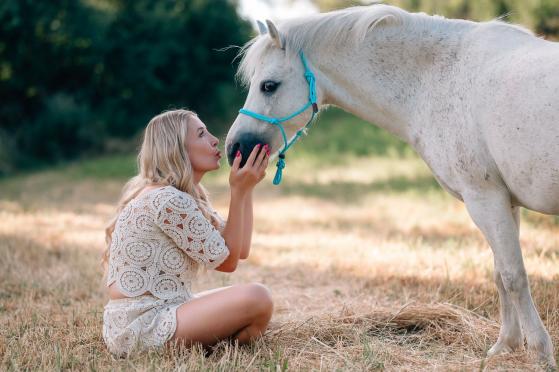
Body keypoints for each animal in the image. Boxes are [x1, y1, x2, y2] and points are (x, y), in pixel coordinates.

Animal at [224, 4, 559, 368]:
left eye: (268, 86)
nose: (234, 148)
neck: (440, 75)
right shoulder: (502, 200)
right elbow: (501, 273)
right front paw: (505, 346)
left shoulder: (484, 198)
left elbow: (513, 275)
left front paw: (540, 352)